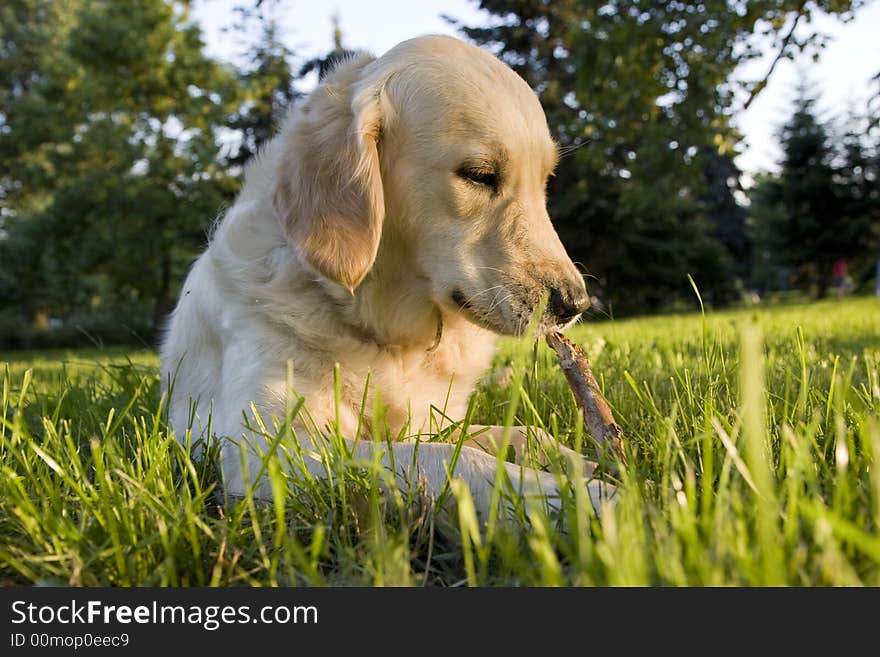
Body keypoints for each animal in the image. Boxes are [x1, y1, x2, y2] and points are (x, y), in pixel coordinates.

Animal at [160, 34, 612, 516]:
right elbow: (452, 460)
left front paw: (591, 466)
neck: (387, 334)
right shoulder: (268, 447)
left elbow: (521, 434)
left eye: (544, 181)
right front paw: (592, 500)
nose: (575, 303)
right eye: (479, 175)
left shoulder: (433, 421)